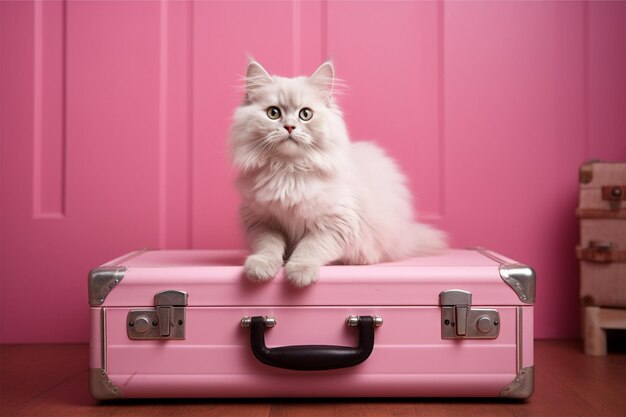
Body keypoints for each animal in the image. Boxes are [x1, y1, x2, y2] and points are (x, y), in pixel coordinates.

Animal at [228, 59, 444, 286]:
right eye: (273, 113)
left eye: (305, 114)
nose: (289, 127)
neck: (289, 169)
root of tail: (409, 235)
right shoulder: (262, 221)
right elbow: (268, 247)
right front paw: (260, 269)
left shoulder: (335, 223)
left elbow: (309, 249)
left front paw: (300, 273)